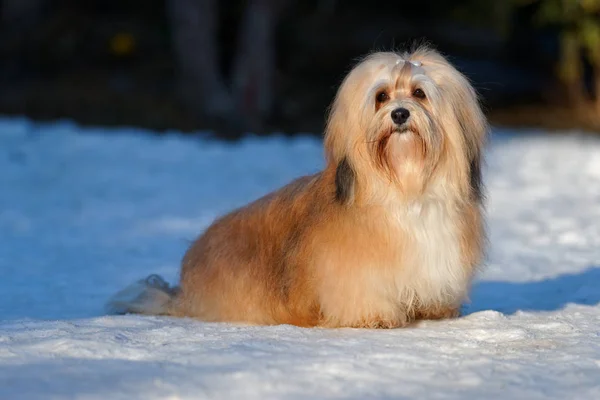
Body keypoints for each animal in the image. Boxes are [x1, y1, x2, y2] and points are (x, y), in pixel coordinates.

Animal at [106, 47, 488, 328]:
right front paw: (376, 316)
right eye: (381, 96)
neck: (405, 188)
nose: (399, 114)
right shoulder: (353, 271)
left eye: (420, 94)